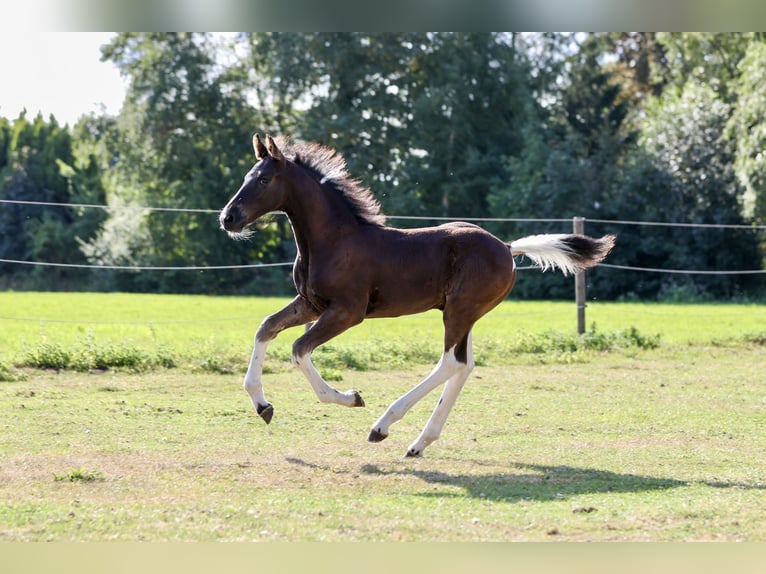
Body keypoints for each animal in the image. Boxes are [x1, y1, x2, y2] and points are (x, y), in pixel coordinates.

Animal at [220, 134, 615, 457]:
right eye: (245, 177)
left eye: (264, 179)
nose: (228, 218)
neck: (334, 241)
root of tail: (506, 247)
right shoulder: (311, 304)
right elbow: (266, 327)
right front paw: (262, 405)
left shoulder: (347, 311)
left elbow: (299, 349)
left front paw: (349, 398)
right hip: (465, 314)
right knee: (465, 364)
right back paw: (419, 443)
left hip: (459, 310)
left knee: (451, 362)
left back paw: (382, 426)